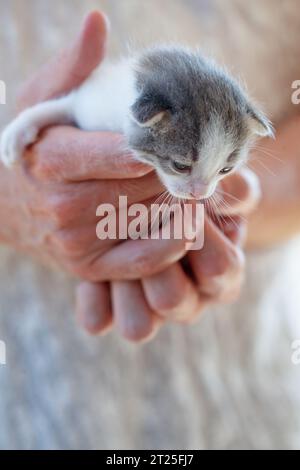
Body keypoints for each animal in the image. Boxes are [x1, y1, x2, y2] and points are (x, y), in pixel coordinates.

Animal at [0, 47, 272, 200]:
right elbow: (57, 106)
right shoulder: (88, 102)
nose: (200, 194)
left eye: (226, 170)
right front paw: (14, 134)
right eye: (180, 166)